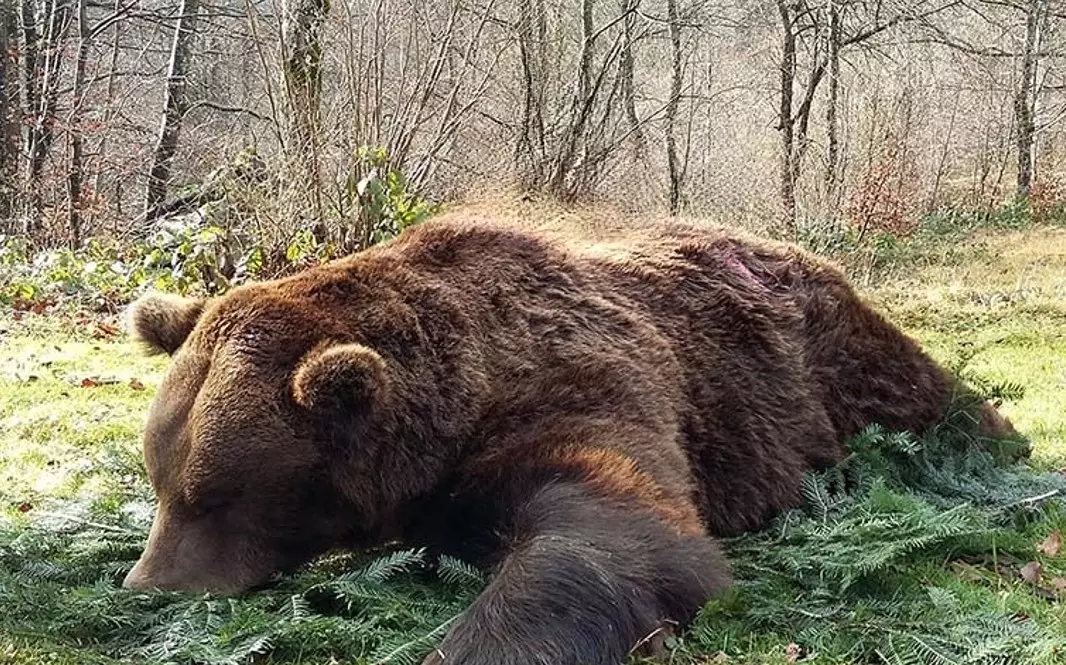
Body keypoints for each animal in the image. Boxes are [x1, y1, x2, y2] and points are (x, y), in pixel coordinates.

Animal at [122, 215, 1018, 665]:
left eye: (215, 494)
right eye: (161, 478)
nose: (148, 585)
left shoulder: (577, 389)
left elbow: (610, 534)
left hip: (846, 366)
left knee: (941, 402)